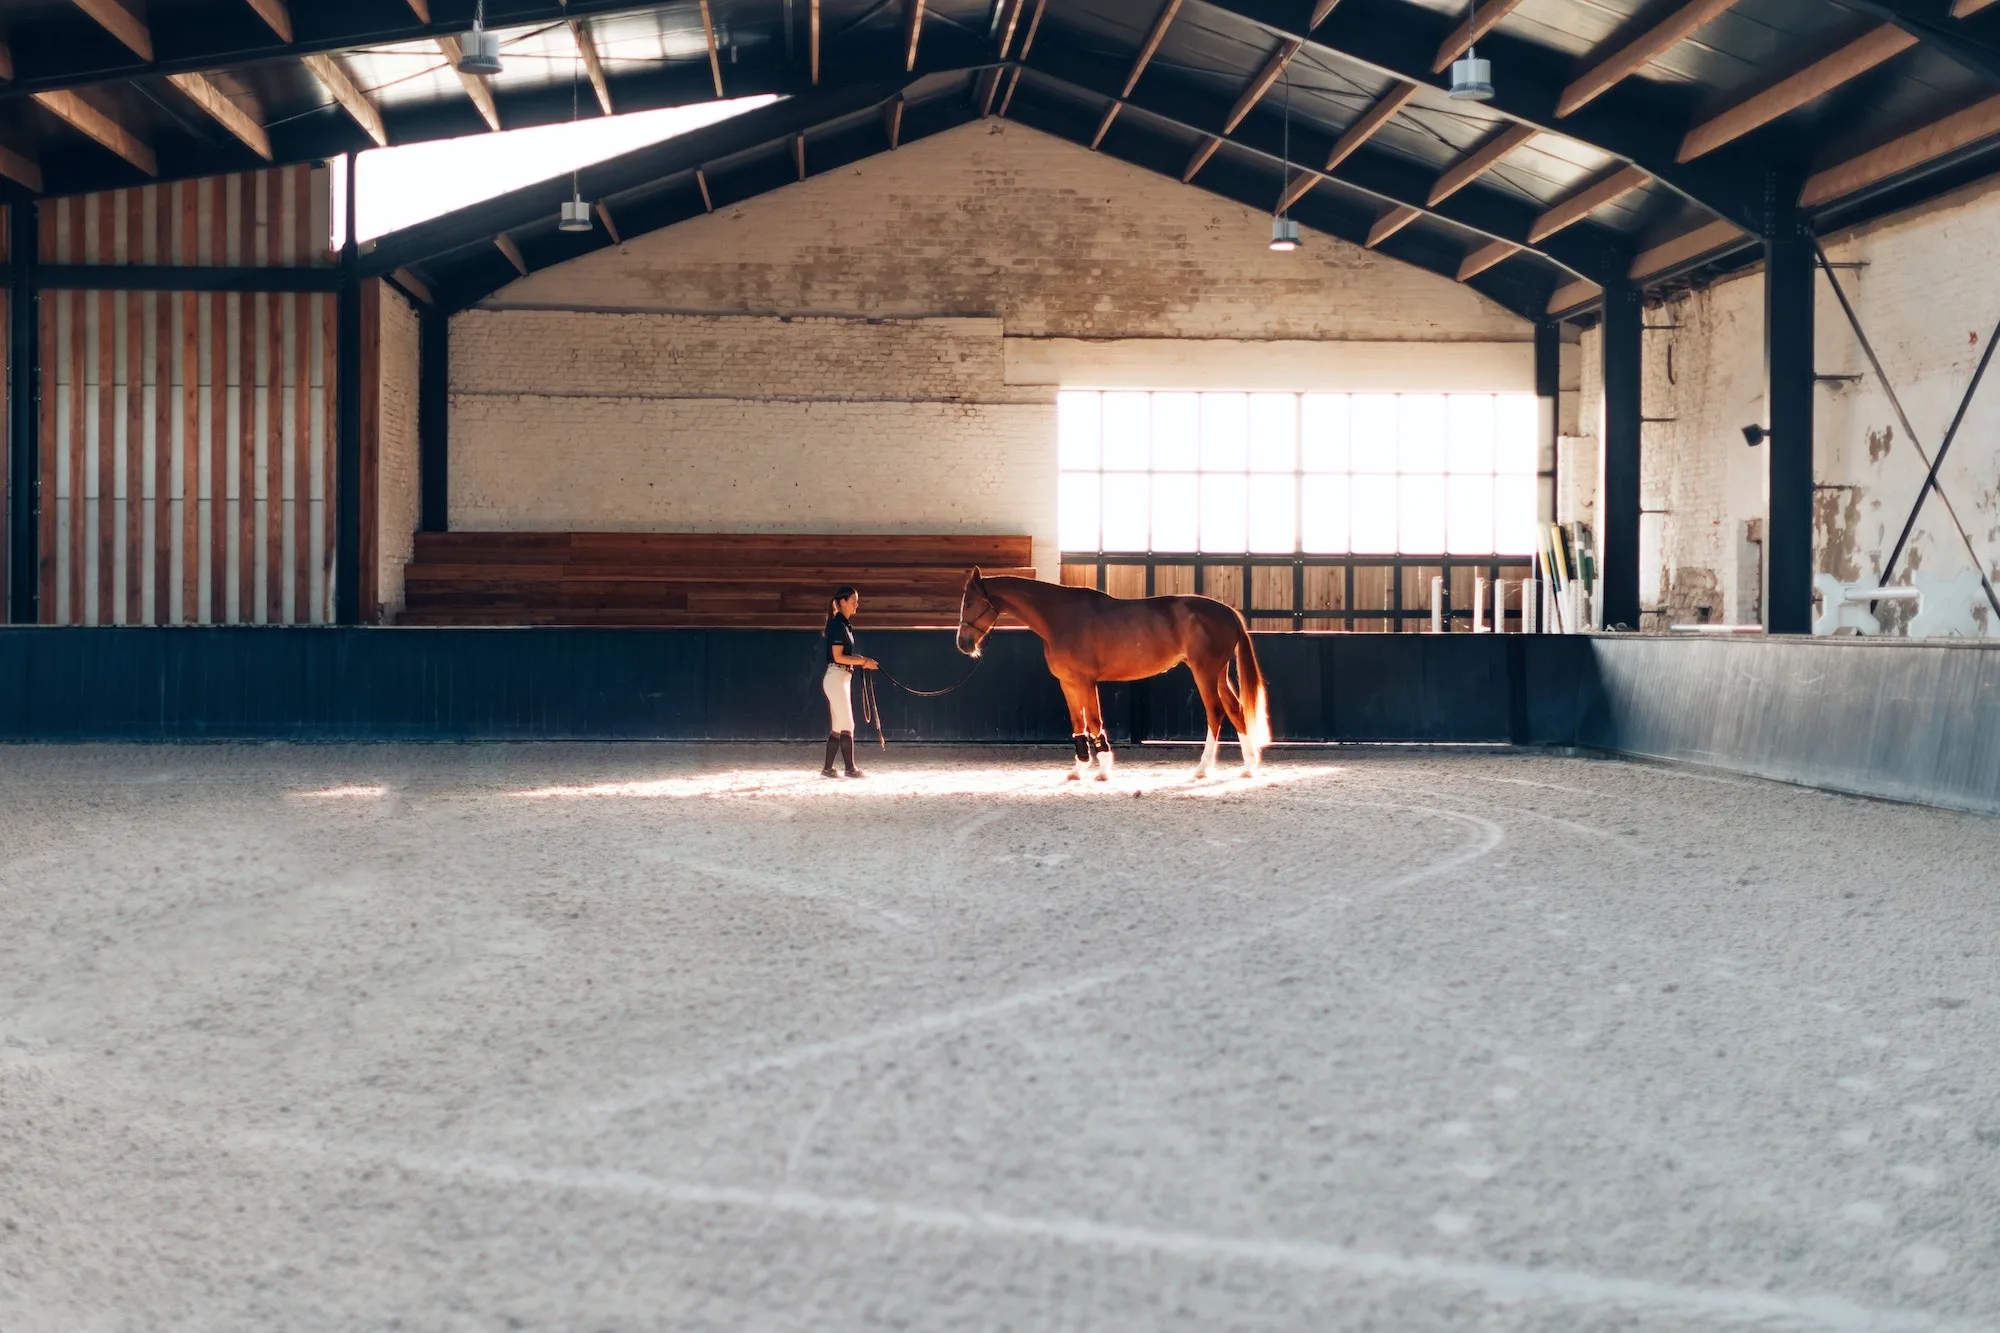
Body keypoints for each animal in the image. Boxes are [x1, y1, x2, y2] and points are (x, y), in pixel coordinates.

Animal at [954, 569, 1271, 781]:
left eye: (969, 602)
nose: (964, 643)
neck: (1060, 618)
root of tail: (1229, 613)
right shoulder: (1068, 683)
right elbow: (1078, 724)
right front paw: (1078, 769)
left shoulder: (1086, 681)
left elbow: (1094, 721)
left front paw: (1104, 769)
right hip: (1219, 674)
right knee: (1236, 710)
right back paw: (1248, 766)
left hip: (1204, 672)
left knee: (1215, 713)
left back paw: (1203, 769)